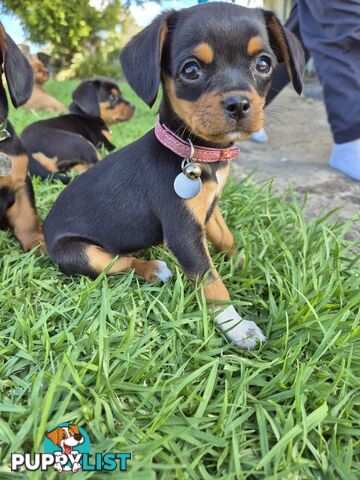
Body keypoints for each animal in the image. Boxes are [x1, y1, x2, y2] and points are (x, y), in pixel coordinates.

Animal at [44, 2, 304, 348]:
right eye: (191, 70)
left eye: (264, 64)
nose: (238, 104)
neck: (195, 154)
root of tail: (43, 232)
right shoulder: (183, 234)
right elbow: (212, 282)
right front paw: (236, 326)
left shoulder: (209, 210)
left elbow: (226, 239)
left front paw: (242, 262)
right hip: (81, 253)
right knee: (117, 263)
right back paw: (153, 269)